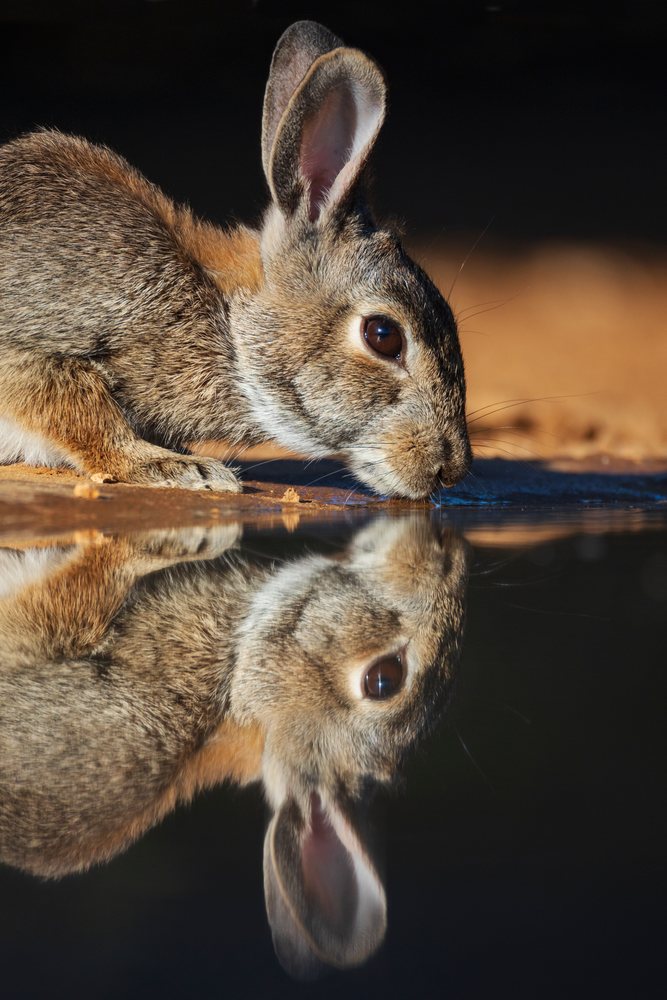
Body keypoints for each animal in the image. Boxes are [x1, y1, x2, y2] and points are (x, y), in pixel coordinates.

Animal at [0, 20, 471, 499]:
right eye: (383, 335)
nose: (450, 469)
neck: (227, 323)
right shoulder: (42, 338)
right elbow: (83, 413)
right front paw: (181, 468)